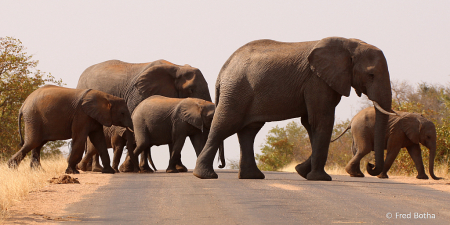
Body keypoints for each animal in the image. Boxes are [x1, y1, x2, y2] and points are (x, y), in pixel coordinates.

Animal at [7, 85, 137, 174]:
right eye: (122, 113)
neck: (106, 96)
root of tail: (23, 105)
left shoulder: (94, 117)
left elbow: (99, 140)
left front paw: (109, 172)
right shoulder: (81, 115)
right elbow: (80, 139)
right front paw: (73, 172)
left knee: (37, 144)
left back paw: (37, 171)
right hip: (33, 118)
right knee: (33, 142)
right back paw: (12, 167)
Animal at [78, 59, 214, 171]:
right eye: (191, 90)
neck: (176, 67)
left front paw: (179, 169)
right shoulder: (138, 95)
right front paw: (131, 169)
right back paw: (94, 169)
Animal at [192, 37, 394, 181]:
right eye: (371, 74)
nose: (371, 166)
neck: (349, 43)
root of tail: (222, 71)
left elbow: (310, 123)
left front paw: (302, 172)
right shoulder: (317, 81)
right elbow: (322, 120)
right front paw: (320, 179)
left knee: (248, 131)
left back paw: (252, 177)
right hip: (237, 90)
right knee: (225, 124)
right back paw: (205, 176)